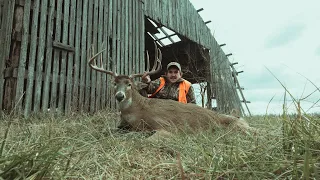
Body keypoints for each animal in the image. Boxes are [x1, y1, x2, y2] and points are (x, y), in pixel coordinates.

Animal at [89, 44, 254, 139]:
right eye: (114, 83)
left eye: (129, 84)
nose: (119, 95)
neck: (136, 112)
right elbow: (107, 130)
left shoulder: (167, 125)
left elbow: (151, 138)